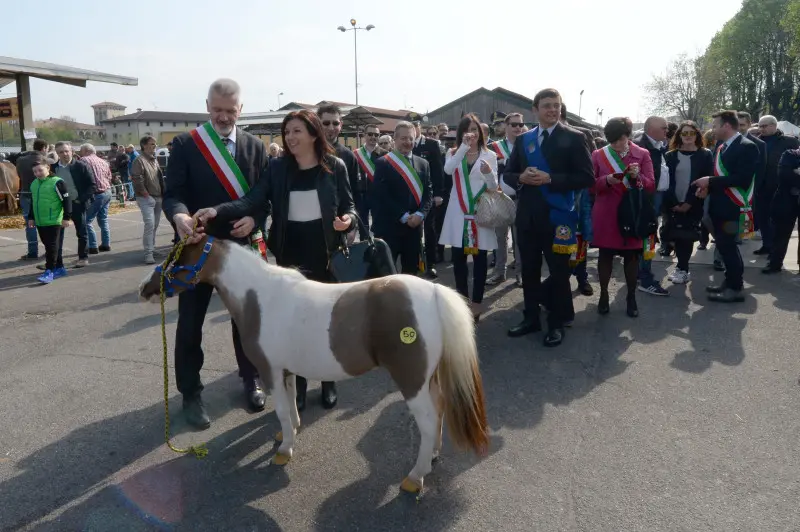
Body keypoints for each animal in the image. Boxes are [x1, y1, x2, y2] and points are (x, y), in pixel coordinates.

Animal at [138, 235, 488, 492]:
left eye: (177, 257)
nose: (145, 288)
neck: (259, 298)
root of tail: (434, 292)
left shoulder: (269, 371)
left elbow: (281, 409)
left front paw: (283, 452)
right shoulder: (285, 371)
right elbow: (292, 403)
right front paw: (287, 434)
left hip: (411, 381)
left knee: (427, 422)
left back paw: (415, 477)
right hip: (428, 379)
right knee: (439, 410)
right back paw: (433, 456)